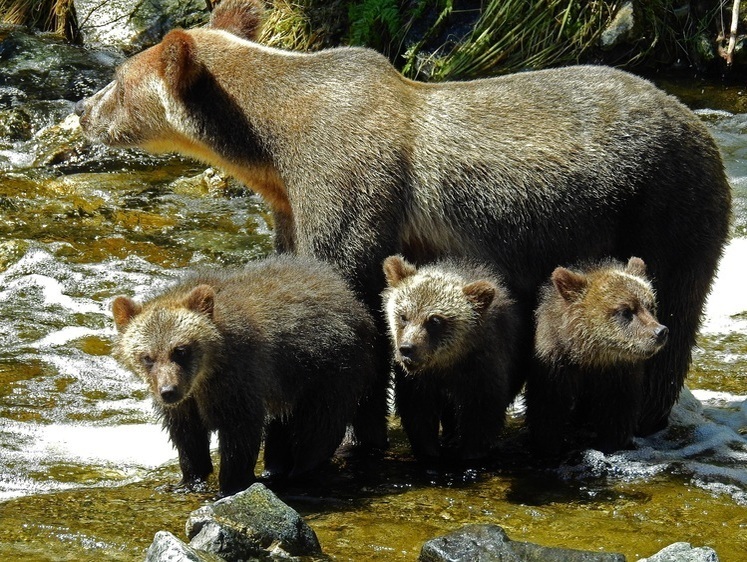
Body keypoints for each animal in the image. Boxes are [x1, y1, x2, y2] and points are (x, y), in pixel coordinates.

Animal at [111, 252, 380, 492]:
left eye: (181, 350)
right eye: (147, 357)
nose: (169, 391)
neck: (205, 375)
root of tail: (347, 293)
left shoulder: (239, 381)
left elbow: (240, 433)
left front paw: (231, 484)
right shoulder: (187, 403)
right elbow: (187, 436)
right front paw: (189, 480)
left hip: (329, 369)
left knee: (319, 426)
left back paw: (299, 472)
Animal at [386, 254, 520, 460]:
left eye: (434, 320)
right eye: (403, 316)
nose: (407, 348)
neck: (447, 362)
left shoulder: (482, 365)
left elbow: (481, 410)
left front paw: (470, 450)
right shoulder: (417, 381)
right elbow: (418, 410)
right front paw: (429, 449)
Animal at [524, 256, 672, 452]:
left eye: (651, 306)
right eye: (626, 310)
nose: (660, 331)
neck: (594, 357)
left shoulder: (620, 374)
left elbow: (618, 412)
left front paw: (612, 442)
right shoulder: (556, 366)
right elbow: (548, 408)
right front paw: (549, 443)